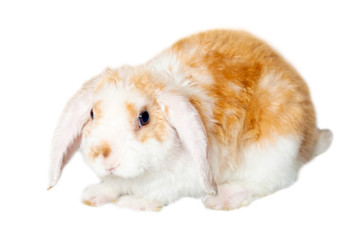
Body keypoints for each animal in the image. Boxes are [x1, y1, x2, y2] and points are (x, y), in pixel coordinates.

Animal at [47, 29, 332, 210]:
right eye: (92, 114)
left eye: (144, 117)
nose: (105, 157)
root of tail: (309, 140)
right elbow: (113, 184)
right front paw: (94, 195)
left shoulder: (182, 179)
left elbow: (158, 192)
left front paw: (134, 203)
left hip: (273, 148)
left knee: (270, 181)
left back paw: (223, 197)